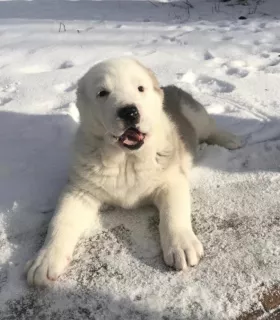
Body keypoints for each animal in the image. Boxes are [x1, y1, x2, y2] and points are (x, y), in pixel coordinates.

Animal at [25, 58, 242, 288]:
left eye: (140, 88)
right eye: (102, 93)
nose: (129, 112)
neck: (126, 160)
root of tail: (170, 87)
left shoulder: (172, 181)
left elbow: (173, 213)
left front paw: (182, 245)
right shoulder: (79, 191)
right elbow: (60, 221)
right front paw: (46, 260)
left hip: (195, 114)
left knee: (210, 129)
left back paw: (230, 139)